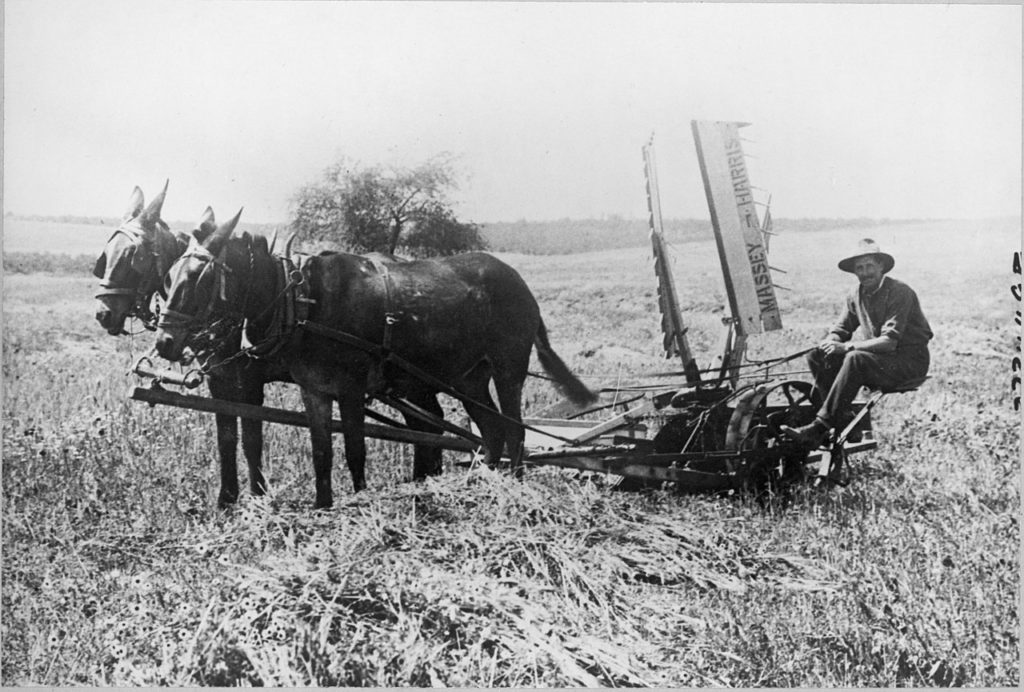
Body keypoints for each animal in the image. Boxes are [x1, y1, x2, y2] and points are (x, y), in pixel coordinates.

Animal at [154, 210, 598, 507]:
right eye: (169, 274)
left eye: (200, 278)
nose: (164, 342)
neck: (303, 302)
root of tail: (519, 283)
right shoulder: (315, 390)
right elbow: (321, 452)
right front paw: (322, 506)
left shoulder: (350, 389)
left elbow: (355, 449)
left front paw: (359, 499)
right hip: (468, 377)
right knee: (491, 431)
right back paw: (477, 485)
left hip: (508, 369)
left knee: (515, 432)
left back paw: (514, 488)